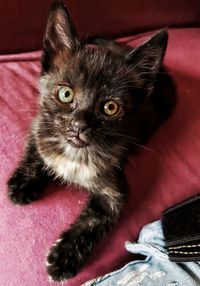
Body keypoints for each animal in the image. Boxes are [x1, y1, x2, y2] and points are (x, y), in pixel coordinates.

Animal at [6, 0, 177, 282]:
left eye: (110, 107)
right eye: (65, 94)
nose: (79, 125)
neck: (73, 153)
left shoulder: (114, 189)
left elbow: (95, 220)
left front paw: (63, 257)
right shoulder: (41, 126)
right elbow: (35, 150)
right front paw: (23, 182)